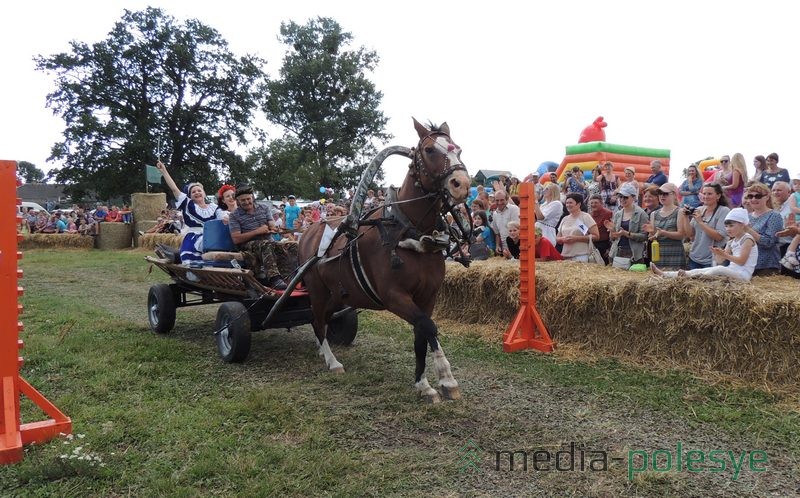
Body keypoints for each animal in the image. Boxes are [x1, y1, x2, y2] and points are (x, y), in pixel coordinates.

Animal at [296, 118, 472, 402]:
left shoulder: (428, 296)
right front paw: (445, 377)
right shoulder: (393, 296)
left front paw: (424, 384)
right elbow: (428, 327)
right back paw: (332, 361)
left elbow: (421, 334)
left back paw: (322, 351)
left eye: (459, 149)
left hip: (337, 293)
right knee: (318, 320)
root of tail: (308, 231)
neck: (407, 230)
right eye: (429, 150)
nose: (462, 184)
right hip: (317, 289)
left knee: (320, 319)